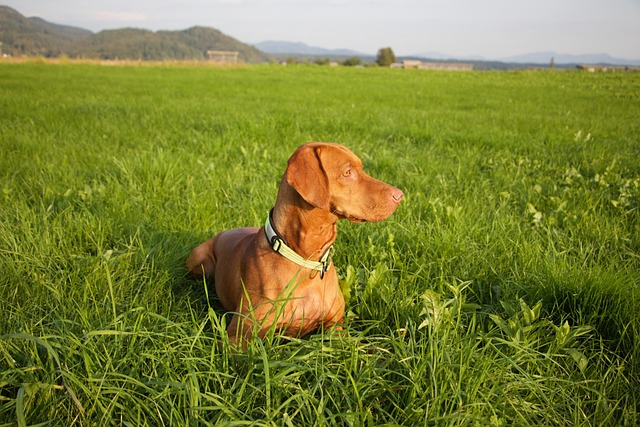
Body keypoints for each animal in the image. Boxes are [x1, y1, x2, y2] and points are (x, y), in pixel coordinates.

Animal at [188, 144, 402, 348]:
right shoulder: (237, 337)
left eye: (362, 169)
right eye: (347, 172)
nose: (400, 195)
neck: (307, 261)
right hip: (198, 262)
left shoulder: (336, 327)